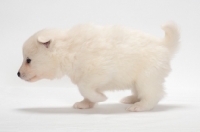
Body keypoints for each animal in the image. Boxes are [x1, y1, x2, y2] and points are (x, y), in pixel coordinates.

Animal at [17, 22, 180, 111]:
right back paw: (131, 99)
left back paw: (139, 106)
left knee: (153, 95)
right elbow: (85, 92)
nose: (18, 74)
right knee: (139, 92)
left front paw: (100, 97)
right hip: (138, 80)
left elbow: (85, 87)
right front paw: (85, 104)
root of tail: (163, 45)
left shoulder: (99, 72)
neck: (69, 49)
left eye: (28, 60)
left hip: (147, 77)